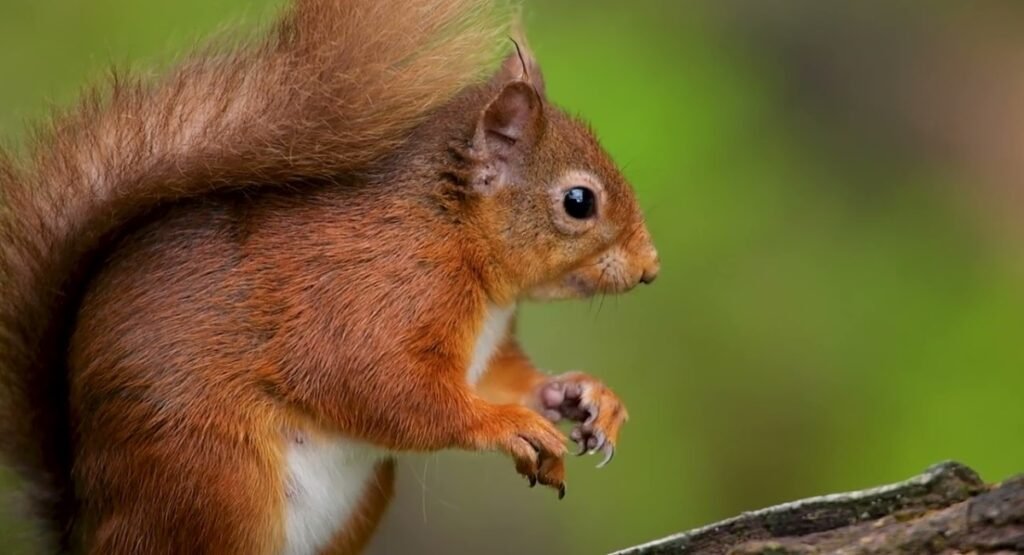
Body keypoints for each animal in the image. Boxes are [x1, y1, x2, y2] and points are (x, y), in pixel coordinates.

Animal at [0, 0, 659, 553]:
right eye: (579, 202)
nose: (651, 269)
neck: (453, 239)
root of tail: (88, 525)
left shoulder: (483, 351)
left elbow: (507, 381)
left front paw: (585, 398)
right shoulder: (373, 296)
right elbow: (377, 384)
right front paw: (504, 425)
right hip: (214, 480)